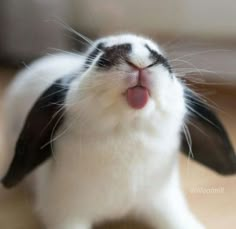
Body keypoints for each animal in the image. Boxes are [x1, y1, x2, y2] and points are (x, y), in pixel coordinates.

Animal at [0, 33, 236, 228]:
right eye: (95, 53)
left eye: (159, 54)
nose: (141, 60)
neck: (126, 132)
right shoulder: (65, 214)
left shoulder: (165, 203)